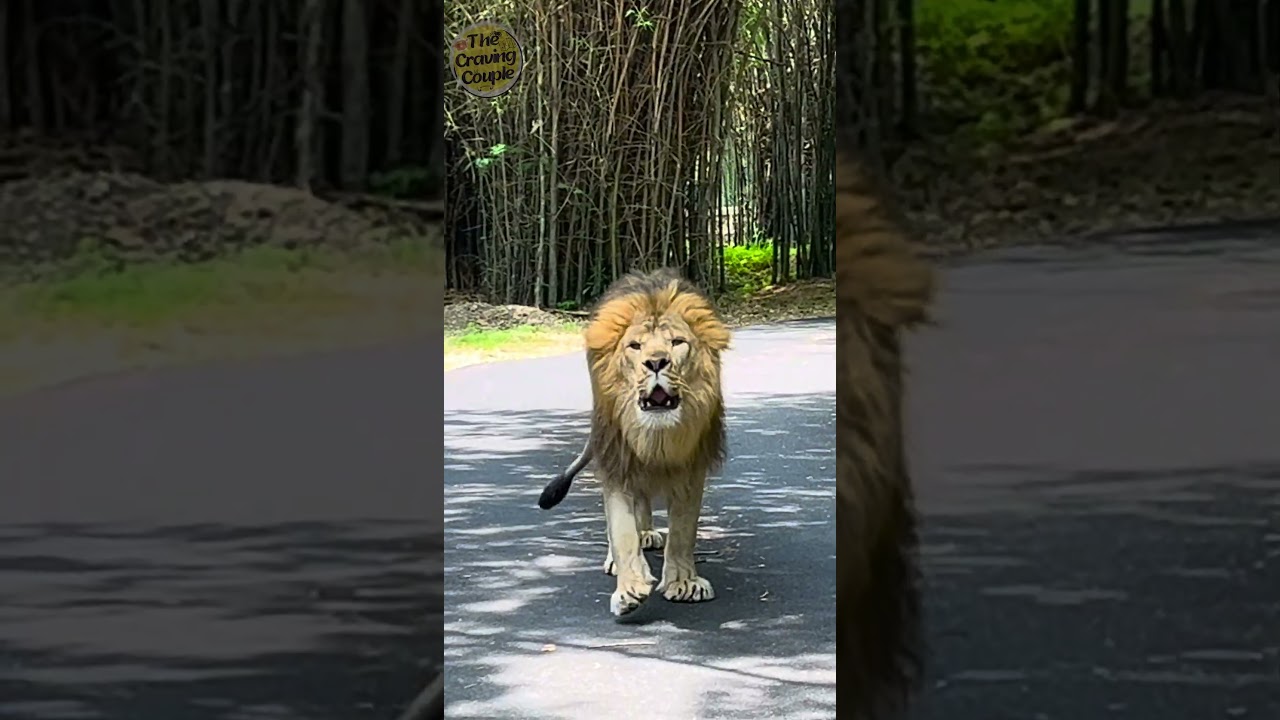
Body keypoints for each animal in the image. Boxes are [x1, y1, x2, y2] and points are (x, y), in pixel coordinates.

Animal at [538, 267, 731, 617]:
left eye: (677, 343)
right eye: (635, 346)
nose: (656, 362)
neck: (657, 436)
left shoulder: (691, 466)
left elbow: (683, 529)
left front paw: (684, 582)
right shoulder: (617, 459)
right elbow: (622, 529)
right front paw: (629, 588)